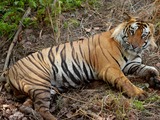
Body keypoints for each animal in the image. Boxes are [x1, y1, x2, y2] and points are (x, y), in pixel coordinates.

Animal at [0, 13, 160, 119]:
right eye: (132, 32)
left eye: (143, 35)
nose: (135, 46)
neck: (129, 51)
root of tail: (9, 70)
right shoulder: (110, 68)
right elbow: (125, 81)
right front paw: (139, 93)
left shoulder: (132, 64)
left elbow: (148, 68)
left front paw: (155, 79)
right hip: (39, 82)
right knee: (41, 108)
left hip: (45, 88)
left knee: (27, 105)